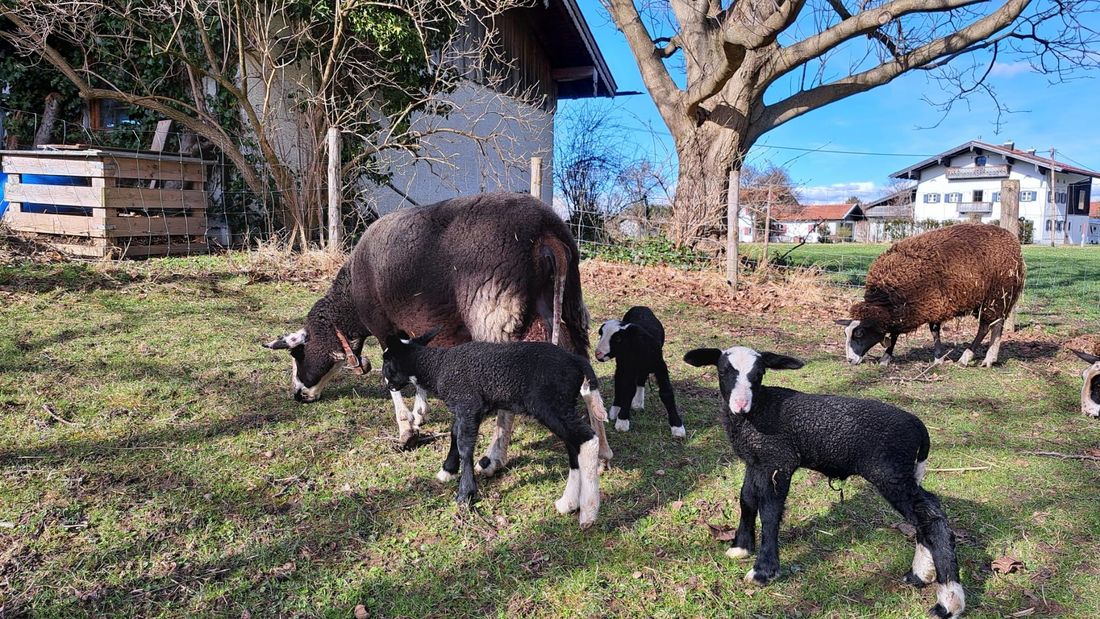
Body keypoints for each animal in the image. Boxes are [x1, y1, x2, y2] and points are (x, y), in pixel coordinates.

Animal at [381, 329, 610, 527]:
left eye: (387, 362)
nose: (386, 382)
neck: (436, 367)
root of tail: (576, 361)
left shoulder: (467, 402)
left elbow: (465, 447)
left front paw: (465, 494)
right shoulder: (470, 408)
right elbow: (455, 434)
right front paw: (448, 470)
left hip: (550, 403)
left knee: (587, 438)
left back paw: (588, 512)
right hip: (563, 404)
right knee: (573, 444)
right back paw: (568, 503)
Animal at [594, 306, 685, 437]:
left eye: (618, 338)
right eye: (601, 334)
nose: (598, 354)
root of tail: (639, 306)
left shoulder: (660, 366)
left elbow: (666, 393)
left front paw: (677, 427)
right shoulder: (627, 366)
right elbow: (627, 390)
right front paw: (622, 421)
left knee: (641, 378)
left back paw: (637, 403)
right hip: (622, 364)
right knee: (619, 382)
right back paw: (616, 409)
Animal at [684, 345, 965, 618]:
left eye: (759, 374)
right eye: (723, 371)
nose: (741, 404)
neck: (755, 413)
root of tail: (920, 430)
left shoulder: (779, 460)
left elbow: (770, 513)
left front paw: (764, 571)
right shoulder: (756, 461)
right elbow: (747, 500)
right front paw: (740, 547)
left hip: (889, 472)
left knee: (931, 515)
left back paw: (948, 601)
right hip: (906, 472)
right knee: (924, 513)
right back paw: (920, 574)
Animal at [837, 223, 1025, 368]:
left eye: (860, 334)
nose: (849, 360)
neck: (887, 294)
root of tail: (1013, 242)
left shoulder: (933, 303)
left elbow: (933, 332)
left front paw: (938, 358)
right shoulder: (904, 309)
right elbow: (896, 333)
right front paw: (886, 357)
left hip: (997, 296)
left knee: (990, 326)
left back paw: (974, 358)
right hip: (991, 299)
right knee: (992, 326)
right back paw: (985, 358)